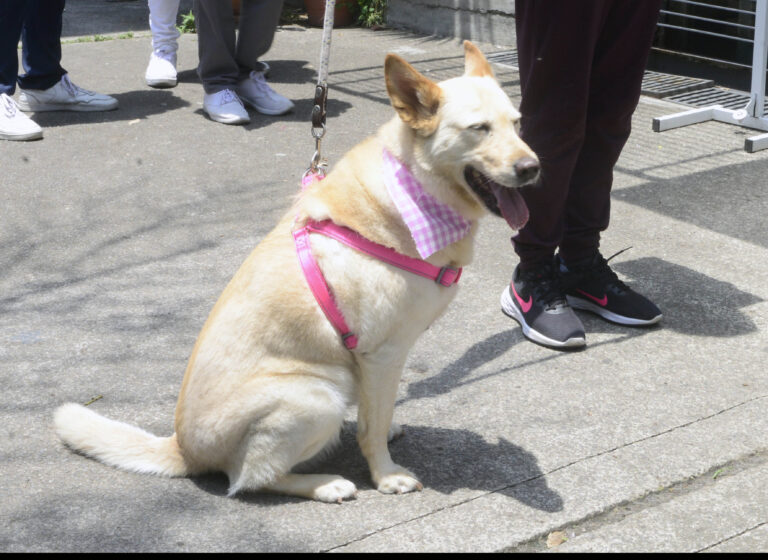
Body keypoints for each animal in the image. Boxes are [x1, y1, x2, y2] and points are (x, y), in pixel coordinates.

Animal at [54, 40, 536, 504]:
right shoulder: (380, 354)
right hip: (319, 394)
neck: (414, 190)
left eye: (517, 124)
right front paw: (385, 476)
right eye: (479, 129)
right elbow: (372, 428)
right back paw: (327, 484)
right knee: (249, 478)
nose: (533, 168)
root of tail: (183, 449)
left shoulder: (381, 365)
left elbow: (379, 412)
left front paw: (389, 428)